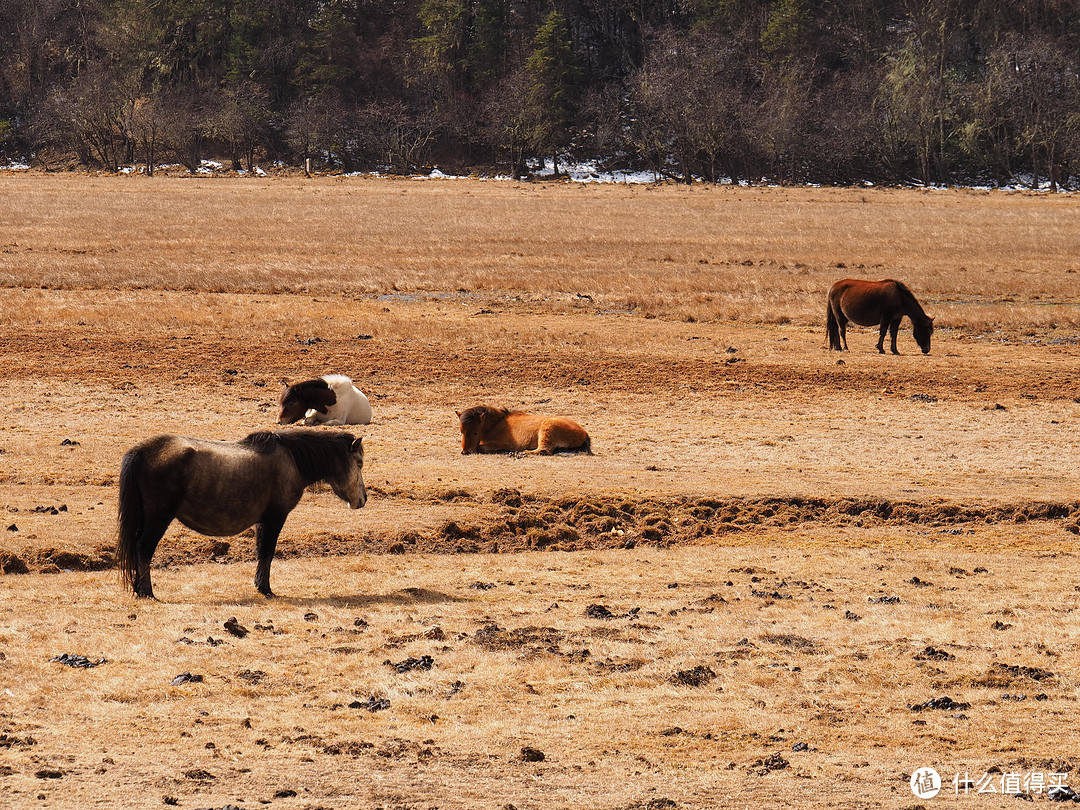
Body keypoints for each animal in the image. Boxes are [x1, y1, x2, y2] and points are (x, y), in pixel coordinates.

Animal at [116, 427, 365, 600]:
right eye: (360, 463)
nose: (362, 500)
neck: (290, 460)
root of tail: (140, 451)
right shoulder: (275, 518)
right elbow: (267, 552)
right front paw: (266, 589)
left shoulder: (263, 522)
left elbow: (261, 552)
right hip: (158, 519)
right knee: (144, 549)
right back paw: (147, 592)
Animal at [455, 406, 591, 457]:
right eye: (461, 431)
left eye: (475, 432)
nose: (465, 452)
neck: (497, 423)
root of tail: (584, 433)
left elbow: (481, 447)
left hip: (547, 430)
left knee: (543, 450)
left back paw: (520, 453)